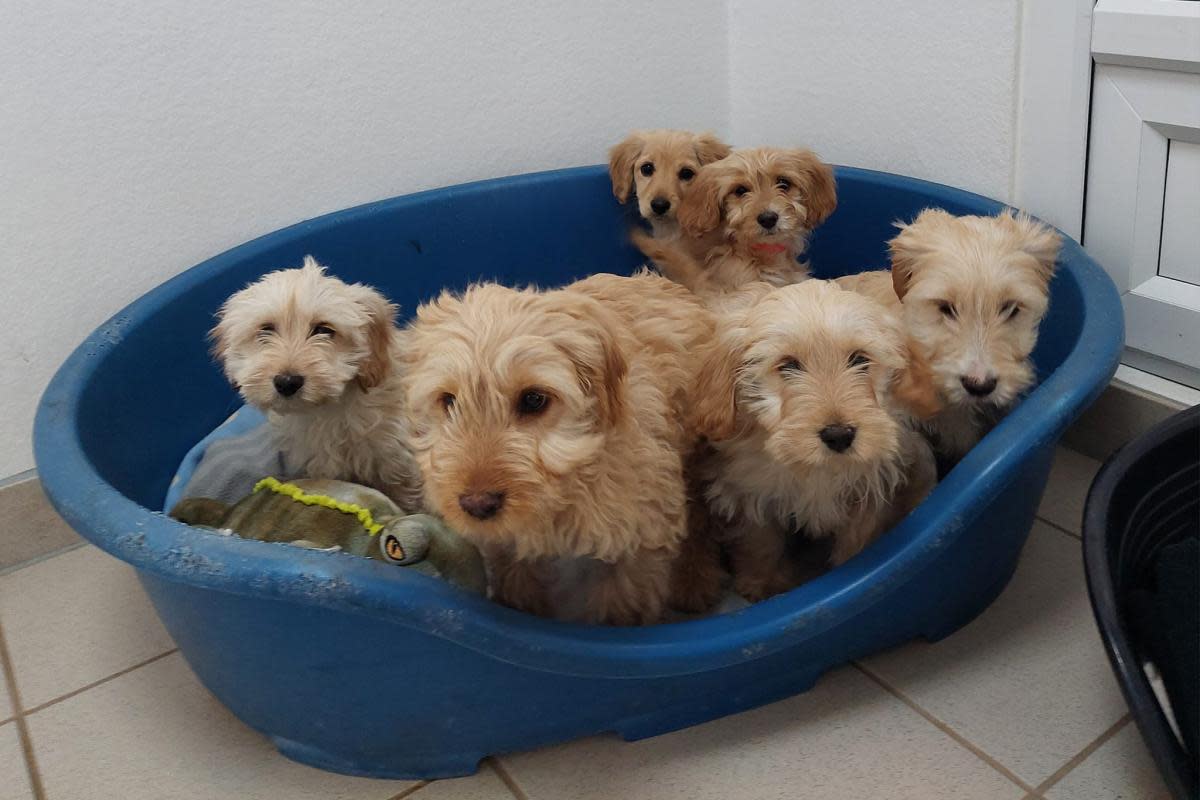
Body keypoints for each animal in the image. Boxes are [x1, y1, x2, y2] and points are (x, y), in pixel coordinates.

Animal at [212, 256, 427, 513]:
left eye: (324, 329)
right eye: (266, 329)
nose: (287, 382)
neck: (327, 411)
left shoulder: (397, 460)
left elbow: (404, 495)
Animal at [403, 271, 720, 623]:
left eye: (533, 399)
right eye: (448, 400)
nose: (477, 505)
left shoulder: (640, 540)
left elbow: (620, 606)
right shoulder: (508, 545)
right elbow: (518, 582)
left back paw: (694, 578)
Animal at [696, 278, 936, 597]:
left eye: (860, 359)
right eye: (788, 365)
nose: (839, 435)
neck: (818, 470)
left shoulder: (869, 487)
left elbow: (858, 538)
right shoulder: (749, 491)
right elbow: (760, 542)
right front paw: (762, 583)